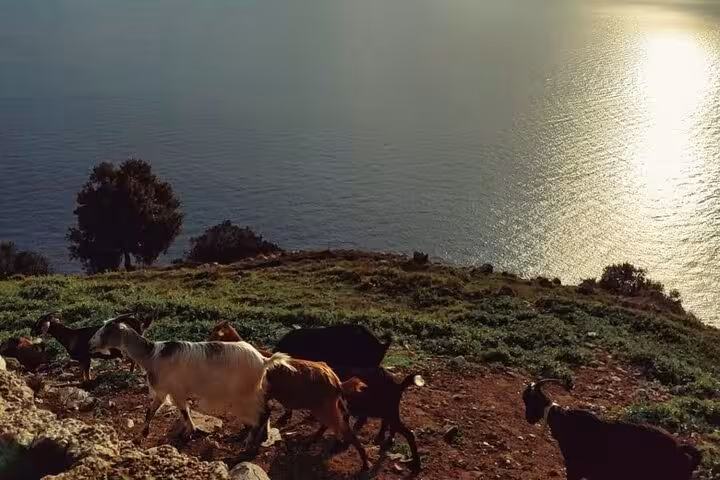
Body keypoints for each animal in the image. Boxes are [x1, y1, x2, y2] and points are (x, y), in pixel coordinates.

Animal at [89, 318, 294, 440]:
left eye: (104, 332)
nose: (90, 344)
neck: (152, 355)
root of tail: (264, 360)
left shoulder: (175, 391)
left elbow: (184, 412)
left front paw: (190, 431)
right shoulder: (164, 391)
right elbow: (150, 412)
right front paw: (143, 433)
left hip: (246, 391)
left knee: (264, 412)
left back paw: (251, 439)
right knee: (265, 410)